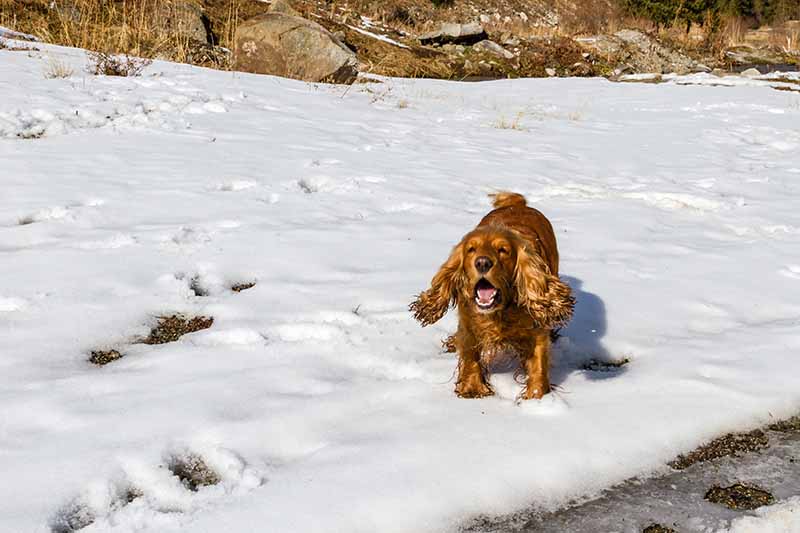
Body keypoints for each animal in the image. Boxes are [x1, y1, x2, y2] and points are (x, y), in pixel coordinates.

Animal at [412, 192, 576, 400]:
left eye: (503, 250)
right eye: (471, 249)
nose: (482, 263)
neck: (500, 312)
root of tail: (519, 204)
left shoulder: (537, 331)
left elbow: (538, 364)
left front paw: (536, 398)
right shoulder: (468, 324)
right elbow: (470, 355)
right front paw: (472, 388)